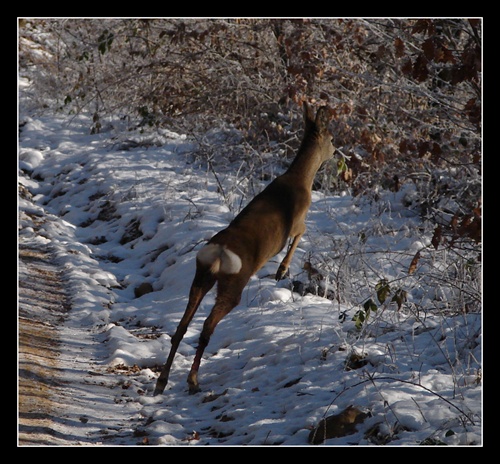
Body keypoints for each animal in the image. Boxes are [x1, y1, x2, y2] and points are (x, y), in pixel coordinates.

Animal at [154, 101, 334, 396]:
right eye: (331, 137)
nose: (336, 151)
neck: (300, 180)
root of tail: (218, 255)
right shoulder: (297, 221)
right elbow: (302, 232)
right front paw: (282, 271)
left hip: (201, 276)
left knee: (182, 325)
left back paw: (162, 381)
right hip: (234, 281)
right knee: (206, 327)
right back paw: (193, 381)